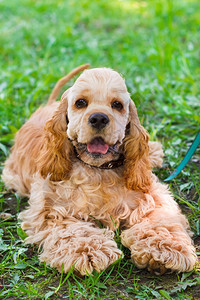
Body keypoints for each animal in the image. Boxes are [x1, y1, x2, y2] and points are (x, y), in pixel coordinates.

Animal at [2, 64, 197, 276]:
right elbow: (72, 229)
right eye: (80, 103)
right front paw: (88, 251)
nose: (98, 118)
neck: (99, 170)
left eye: (117, 105)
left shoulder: (153, 196)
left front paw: (165, 249)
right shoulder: (50, 208)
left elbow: (160, 220)